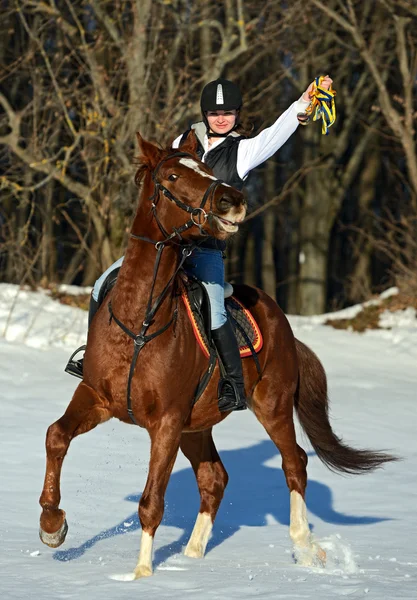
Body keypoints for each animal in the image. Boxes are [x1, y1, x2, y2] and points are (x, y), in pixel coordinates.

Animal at [38, 132, 394, 576]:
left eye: (209, 170)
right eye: (172, 176)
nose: (232, 200)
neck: (140, 326)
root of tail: (280, 318)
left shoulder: (167, 423)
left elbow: (151, 501)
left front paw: (141, 575)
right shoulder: (96, 397)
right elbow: (56, 435)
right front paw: (52, 525)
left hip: (271, 406)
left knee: (294, 463)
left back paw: (306, 548)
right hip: (198, 426)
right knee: (214, 477)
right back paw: (191, 557)